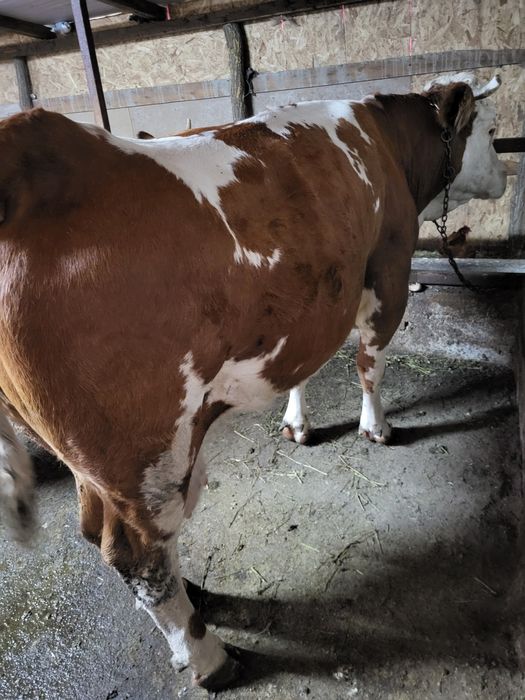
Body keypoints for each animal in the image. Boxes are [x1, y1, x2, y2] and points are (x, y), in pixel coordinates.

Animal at [0, 73, 508, 691]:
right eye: (490, 129)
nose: (508, 176)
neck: (387, 140)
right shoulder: (388, 267)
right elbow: (371, 362)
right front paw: (376, 427)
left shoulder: (312, 303)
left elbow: (305, 369)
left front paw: (297, 424)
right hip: (144, 453)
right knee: (136, 555)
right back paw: (208, 656)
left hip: (78, 452)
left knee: (103, 532)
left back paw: (195, 596)